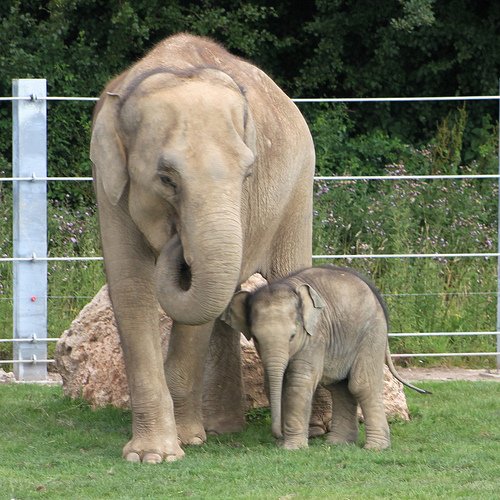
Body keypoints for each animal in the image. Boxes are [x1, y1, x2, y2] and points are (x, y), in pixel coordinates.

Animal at [91, 33, 312, 462]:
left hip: (299, 187)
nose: (178, 242)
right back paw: (221, 428)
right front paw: (153, 455)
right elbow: (130, 287)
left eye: (248, 173)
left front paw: (185, 440)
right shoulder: (108, 184)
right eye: (166, 179)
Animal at [224, 268, 430, 452]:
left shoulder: (315, 337)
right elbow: (275, 381)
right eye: (255, 338)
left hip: (372, 333)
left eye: (292, 336)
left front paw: (292, 448)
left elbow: (300, 381)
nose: (278, 436)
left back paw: (375, 447)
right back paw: (338, 443)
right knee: (340, 386)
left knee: (361, 384)